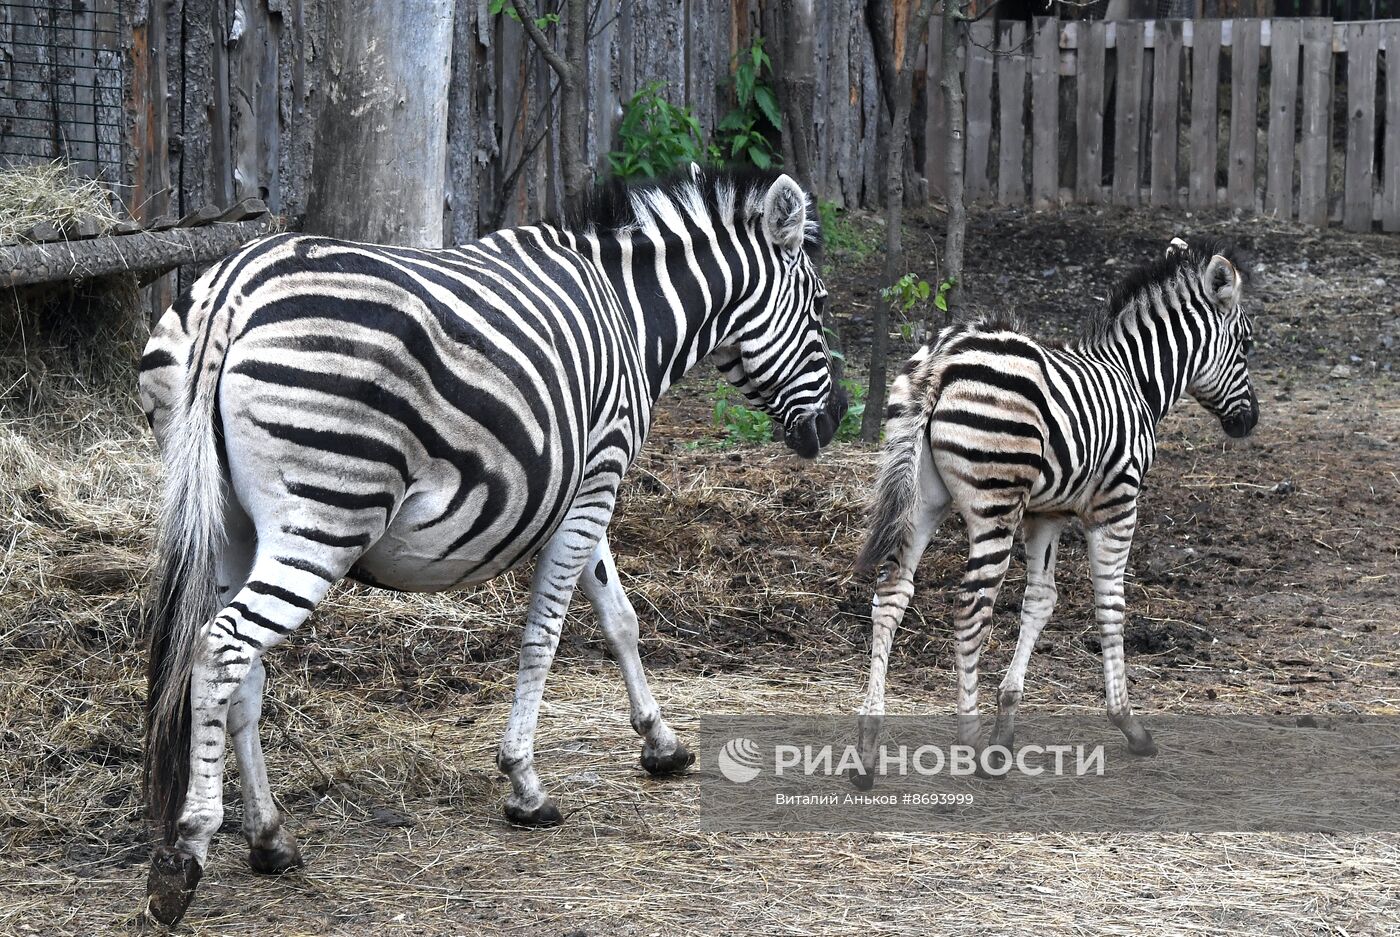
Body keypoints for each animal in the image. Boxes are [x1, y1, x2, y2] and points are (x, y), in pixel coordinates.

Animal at [139, 164, 840, 918]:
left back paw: (271, 838)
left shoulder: (584, 486)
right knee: (223, 647)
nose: (830, 427)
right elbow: (545, 637)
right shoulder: (597, 477)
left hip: (227, 524)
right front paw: (525, 784)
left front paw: (663, 744)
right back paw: (186, 852)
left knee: (242, 665)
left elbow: (620, 619)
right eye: (819, 308)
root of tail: (231, 291)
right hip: (326, 512)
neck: (633, 315)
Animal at [851, 238, 1260, 778]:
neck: (1136, 381)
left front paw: (1007, 723)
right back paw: (970, 746)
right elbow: (1111, 605)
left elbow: (1040, 601)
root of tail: (946, 355)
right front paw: (1129, 724)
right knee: (971, 607)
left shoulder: (1045, 515)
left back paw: (868, 748)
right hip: (995, 503)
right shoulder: (1116, 505)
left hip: (921, 498)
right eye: (1247, 344)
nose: (1249, 423)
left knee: (891, 594)